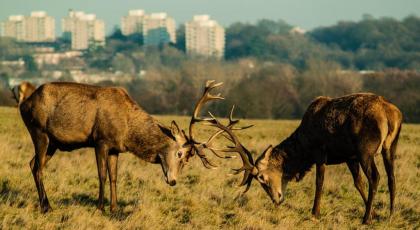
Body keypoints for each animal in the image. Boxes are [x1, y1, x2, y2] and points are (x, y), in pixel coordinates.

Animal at [17, 80, 236, 213]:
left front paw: (114, 208)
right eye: (180, 153)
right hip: (39, 132)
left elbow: (114, 177)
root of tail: (24, 104)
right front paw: (100, 207)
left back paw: (45, 204)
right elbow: (102, 175)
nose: (173, 181)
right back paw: (47, 207)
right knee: (38, 167)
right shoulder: (101, 140)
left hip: (53, 143)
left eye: (188, 159)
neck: (127, 130)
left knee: (32, 164)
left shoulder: (115, 148)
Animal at [208, 92, 404, 224]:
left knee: (376, 177)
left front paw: (315, 213)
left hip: (366, 149)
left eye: (262, 177)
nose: (276, 199)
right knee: (391, 177)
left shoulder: (320, 151)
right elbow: (358, 183)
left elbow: (319, 182)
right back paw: (391, 214)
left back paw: (365, 219)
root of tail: (391, 113)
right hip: (390, 146)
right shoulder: (350, 156)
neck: (304, 148)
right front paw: (375, 213)